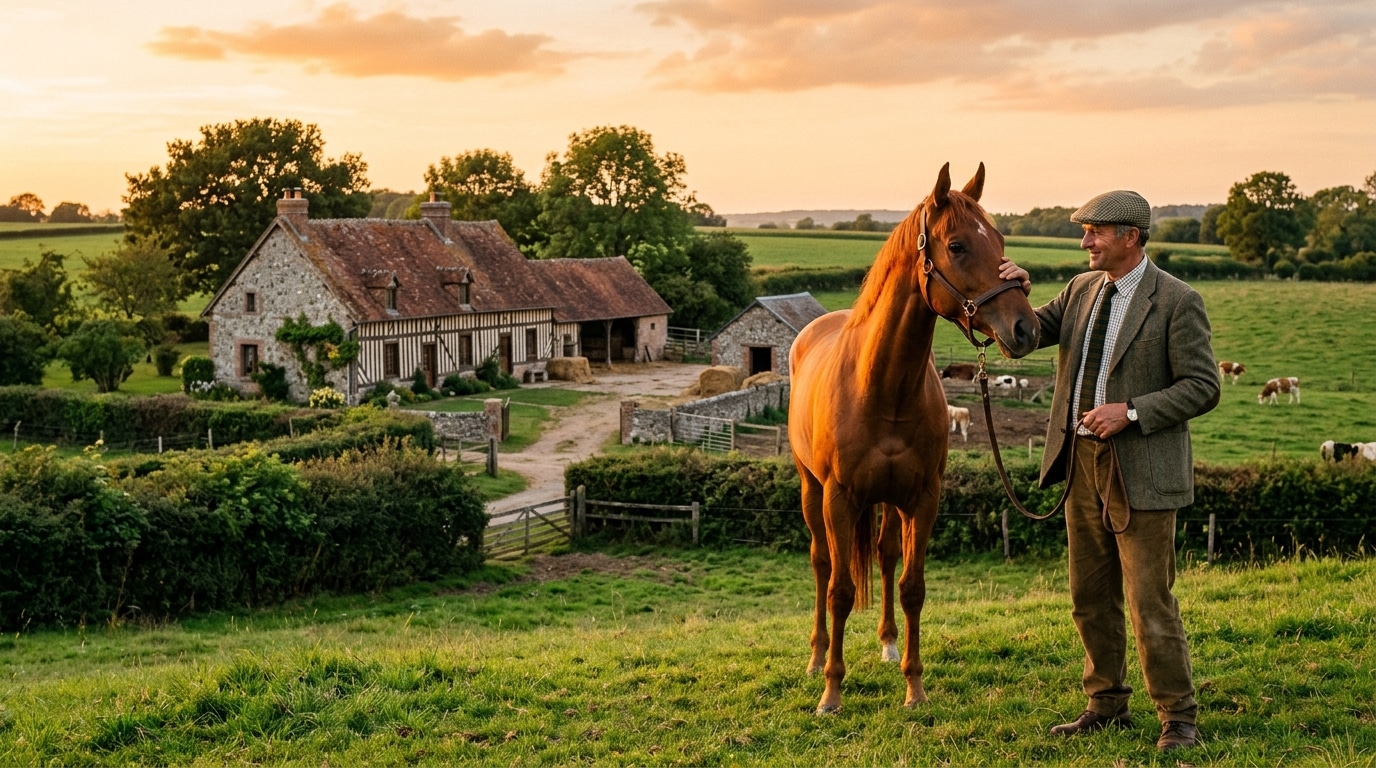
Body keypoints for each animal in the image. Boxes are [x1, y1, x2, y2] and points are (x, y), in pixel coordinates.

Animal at [788, 163, 1039, 714]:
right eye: (958, 245)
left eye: (1001, 241)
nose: (1026, 329)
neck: (883, 386)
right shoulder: (839, 498)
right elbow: (840, 590)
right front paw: (831, 692)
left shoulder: (923, 498)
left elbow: (912, 587)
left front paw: (914, 685)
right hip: (812, 489)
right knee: (821, 564)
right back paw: (815, 656)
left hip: (887, 501)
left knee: (884, 556)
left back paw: (886, 642)